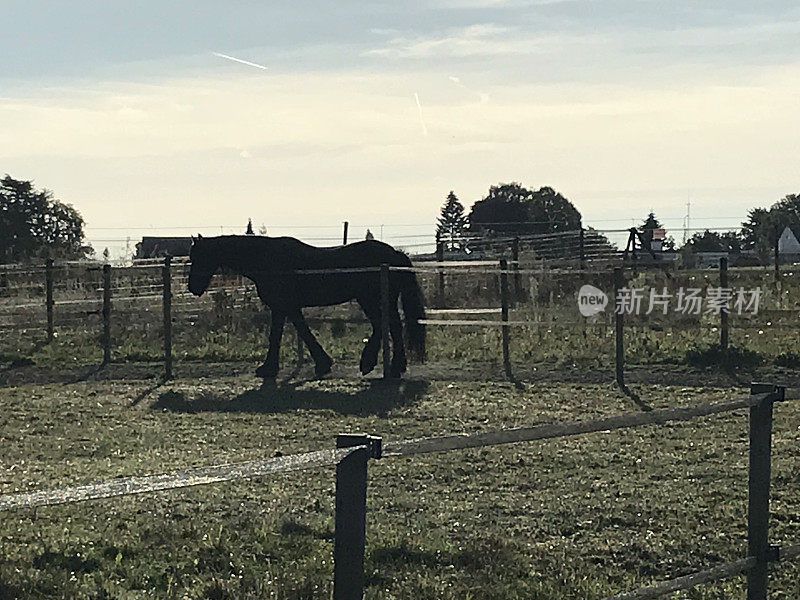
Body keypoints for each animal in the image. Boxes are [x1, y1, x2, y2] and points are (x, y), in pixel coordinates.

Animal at [188, 236, 424, 380]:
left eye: (199, 258)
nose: (192, 288)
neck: (267, 260)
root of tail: (395, 253)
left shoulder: (283, 306)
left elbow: (286, 334)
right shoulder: (287, 308)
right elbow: (294, 332)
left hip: (371, 299)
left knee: (385, 326)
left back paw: (373, 363)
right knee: (390, 326)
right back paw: (394, 365)